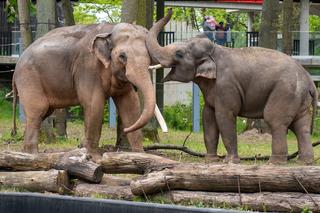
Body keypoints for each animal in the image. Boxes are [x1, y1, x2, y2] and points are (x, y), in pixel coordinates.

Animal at [13, 23, 156, 160]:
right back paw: (32, 155)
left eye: (150, 56)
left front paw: (140, 155)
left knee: (42, 114)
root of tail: (16, 67)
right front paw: (94, 158)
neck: (110, 29)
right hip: (29, 79)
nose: (125, 129)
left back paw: (25, 153)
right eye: (122, 56)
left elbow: (130, 105)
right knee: (37, 113)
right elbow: (94, 105)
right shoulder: (87, 67)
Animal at [147, 9, 318, 164]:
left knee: (276, 122)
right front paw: (211, 160)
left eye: (179, 54)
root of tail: (309, 80)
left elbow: (225, 116)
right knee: (301, 126)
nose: (169, 9)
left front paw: (230, 161)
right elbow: (208, 117)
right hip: (300, 98)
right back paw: (305, 162)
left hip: (285, 92)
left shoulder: (226, 86)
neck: (215, 51)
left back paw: (274, 163)